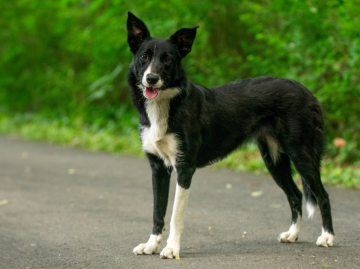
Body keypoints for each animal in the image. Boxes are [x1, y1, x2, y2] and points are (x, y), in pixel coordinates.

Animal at [126, 12, 334, 258]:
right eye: (144, 57)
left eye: (167, 59)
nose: (151, 79)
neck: (166, 104)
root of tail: (308, 93)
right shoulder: (158, 167)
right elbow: (157, 212)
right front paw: (151, 245)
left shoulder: (185, 168)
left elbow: (176, 214)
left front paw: (172, 249)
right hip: (274, 160)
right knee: (296, 195)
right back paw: (292, 234)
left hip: (301, 154)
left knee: (322, 195)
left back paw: (327, 237)